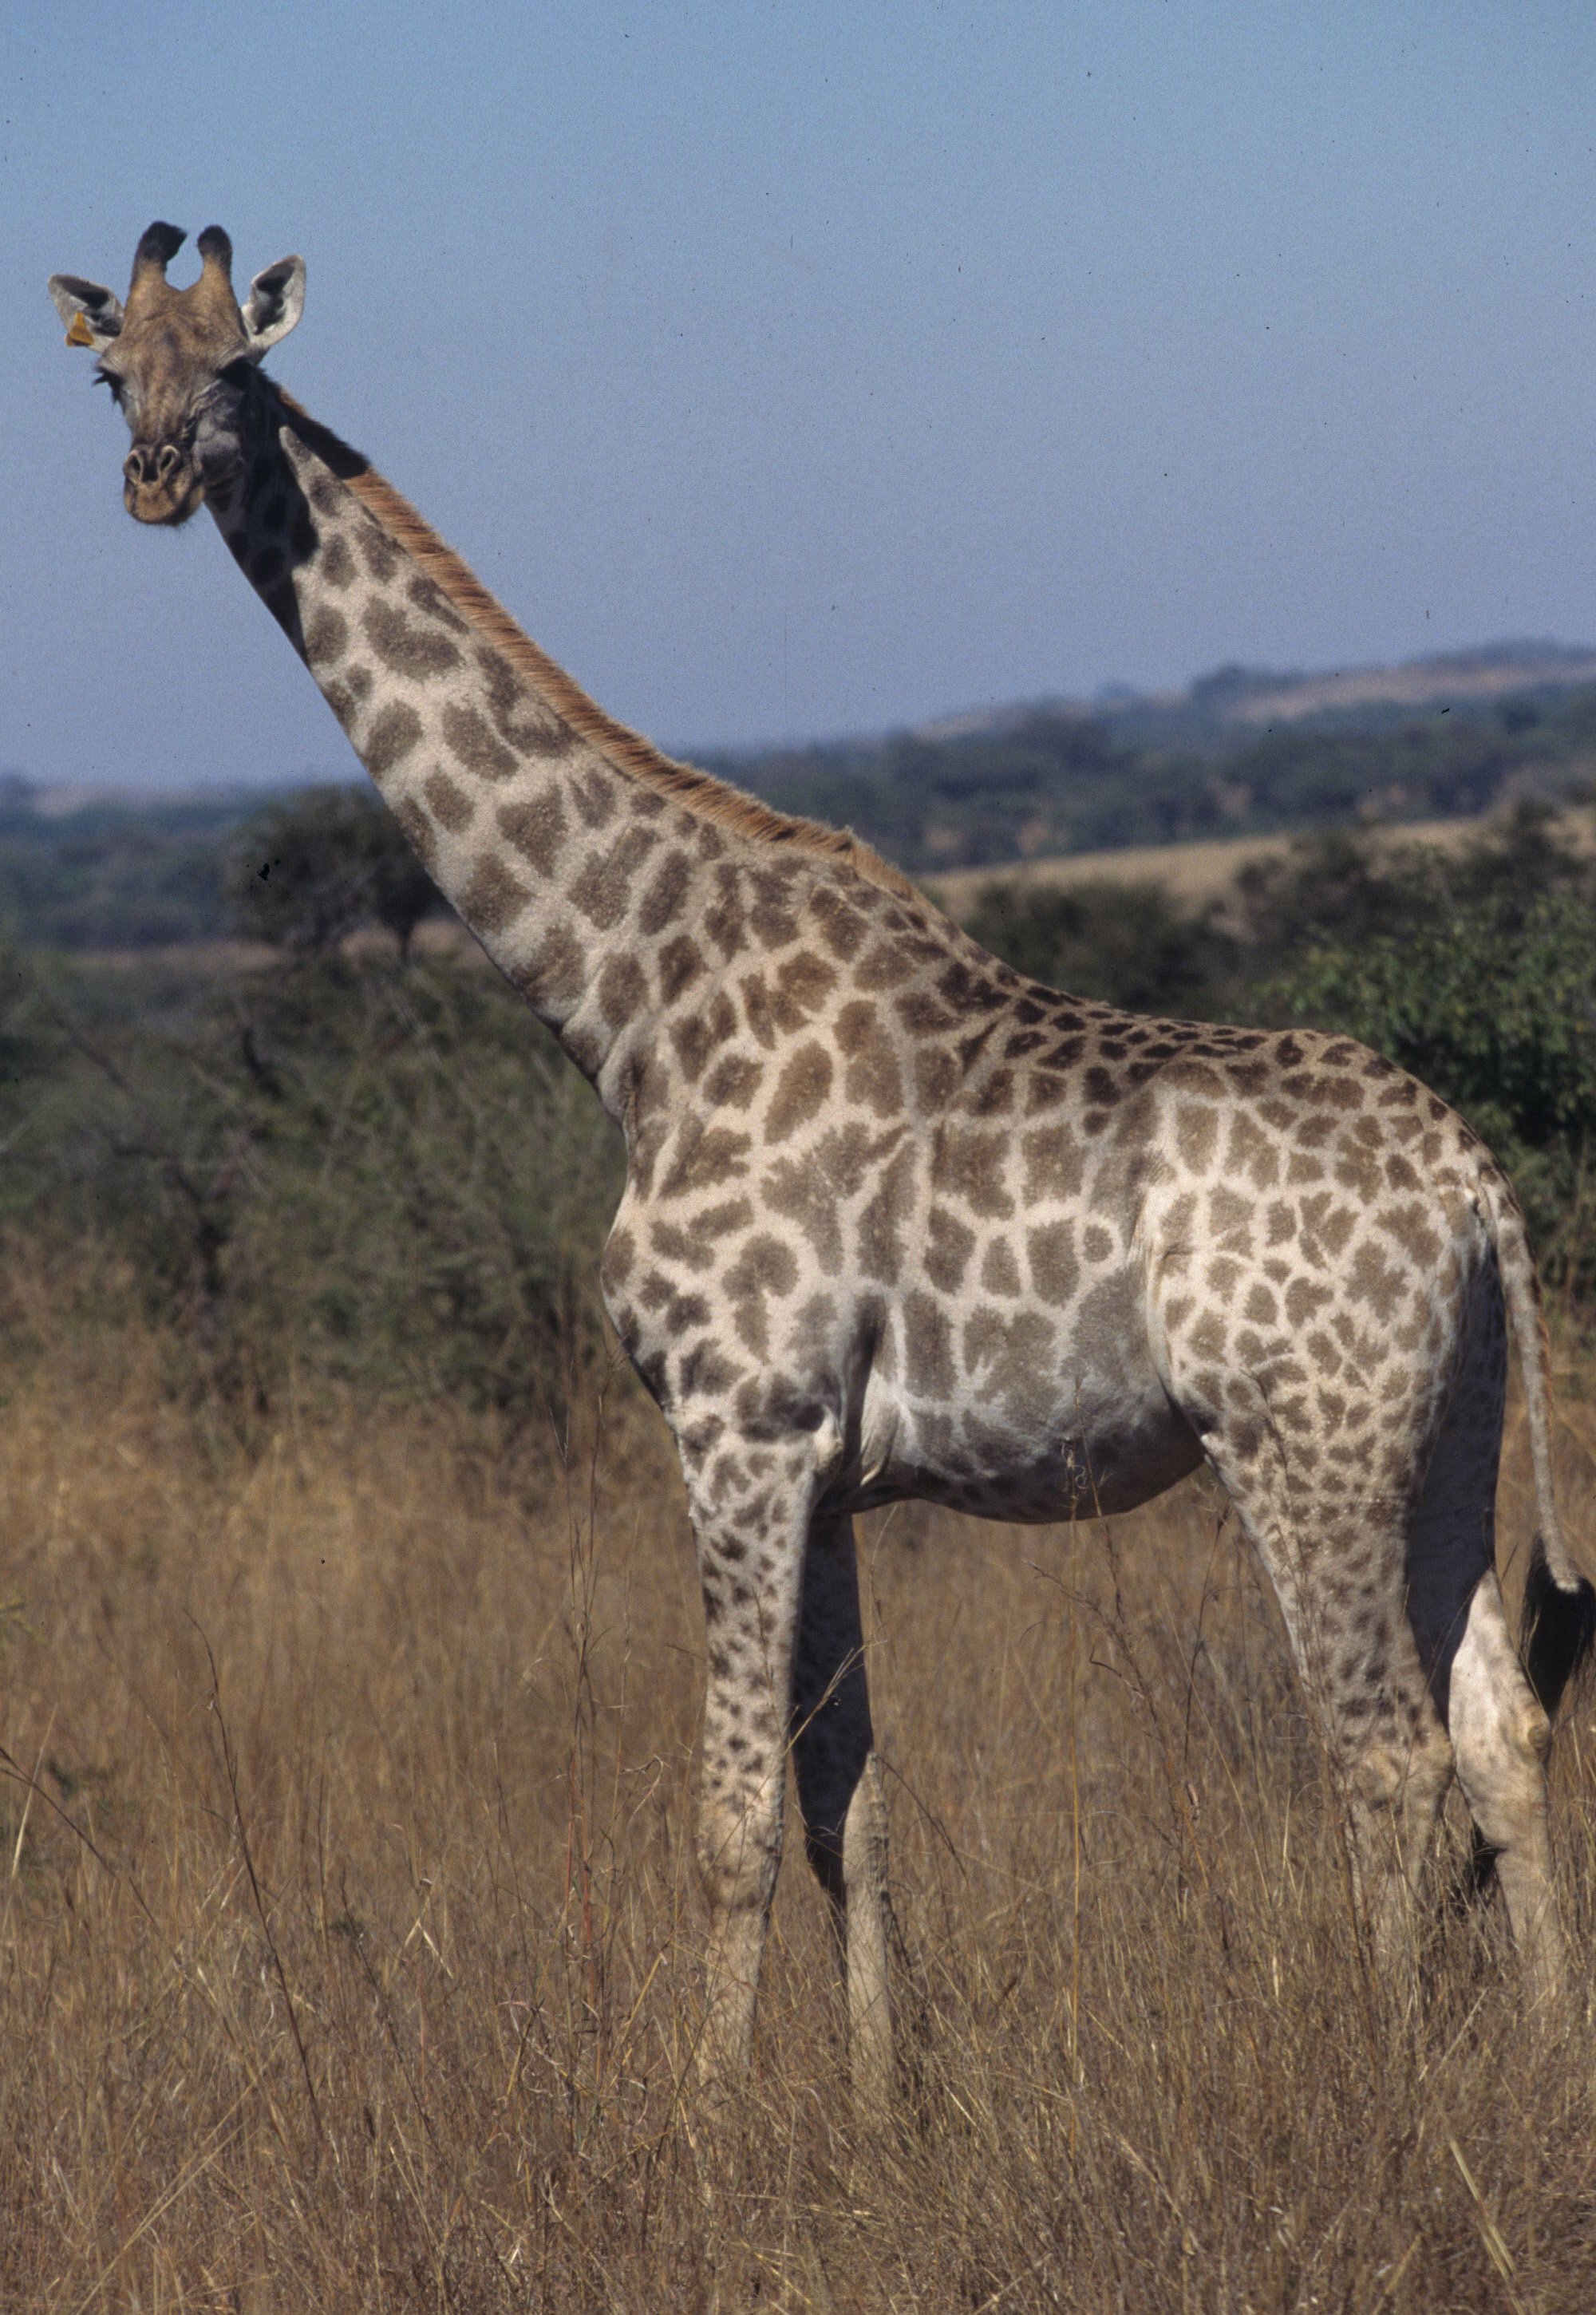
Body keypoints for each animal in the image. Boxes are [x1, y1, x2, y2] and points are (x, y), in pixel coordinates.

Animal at [49, 224, 1595, 2109]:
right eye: (109, 374)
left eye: (237, 372)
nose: (151, 476)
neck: (627, 993)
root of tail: (1469, 1179)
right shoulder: (828, 1470)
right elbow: (848, 1801)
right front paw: (876, 2110)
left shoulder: (733, 1423)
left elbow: (726, 1820)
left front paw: (704, 2123)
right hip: (1441, 1433)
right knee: (1501, 1727)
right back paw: (1545, 2069)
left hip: (1298, 1441)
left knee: (1384, 1755)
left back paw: (1381, 2085)